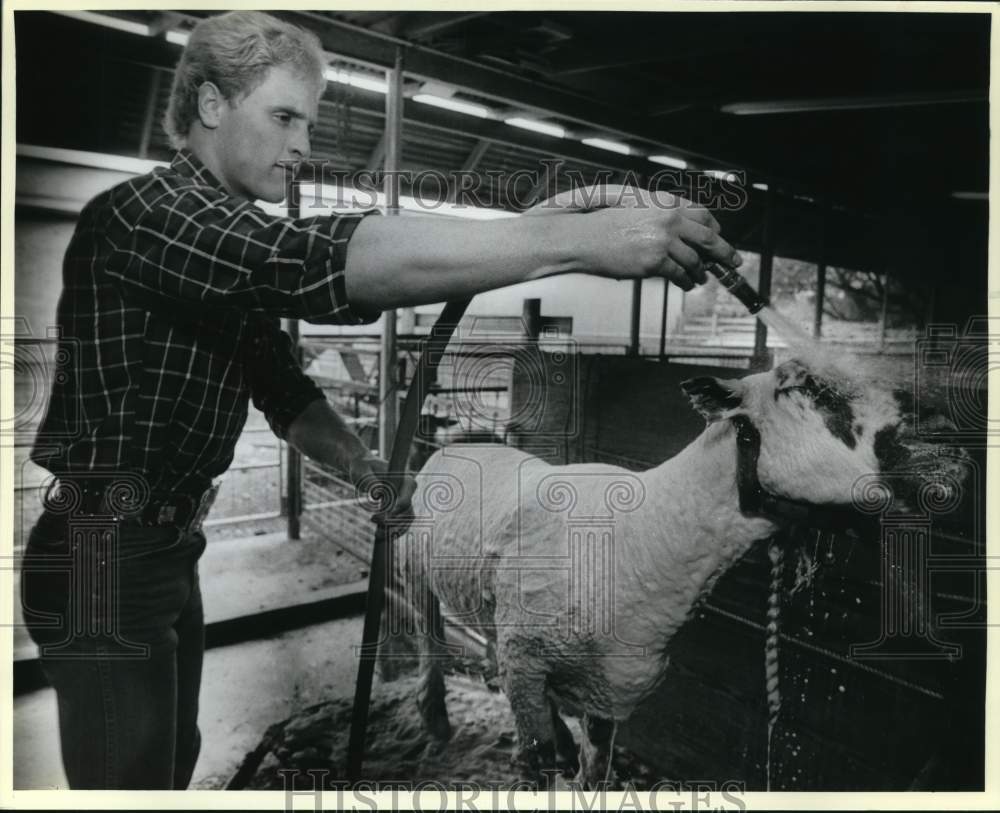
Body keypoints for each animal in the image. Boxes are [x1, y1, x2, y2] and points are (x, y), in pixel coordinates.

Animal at [382, 356, 967, 787]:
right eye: (804, 387)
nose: (946, 430)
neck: (643, 539)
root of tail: (461, 441)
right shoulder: (527, 662)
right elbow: (536, 759)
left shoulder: (610, 695)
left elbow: (593, 771)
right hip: (414, 564)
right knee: (428, 631)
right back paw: (434, 717)